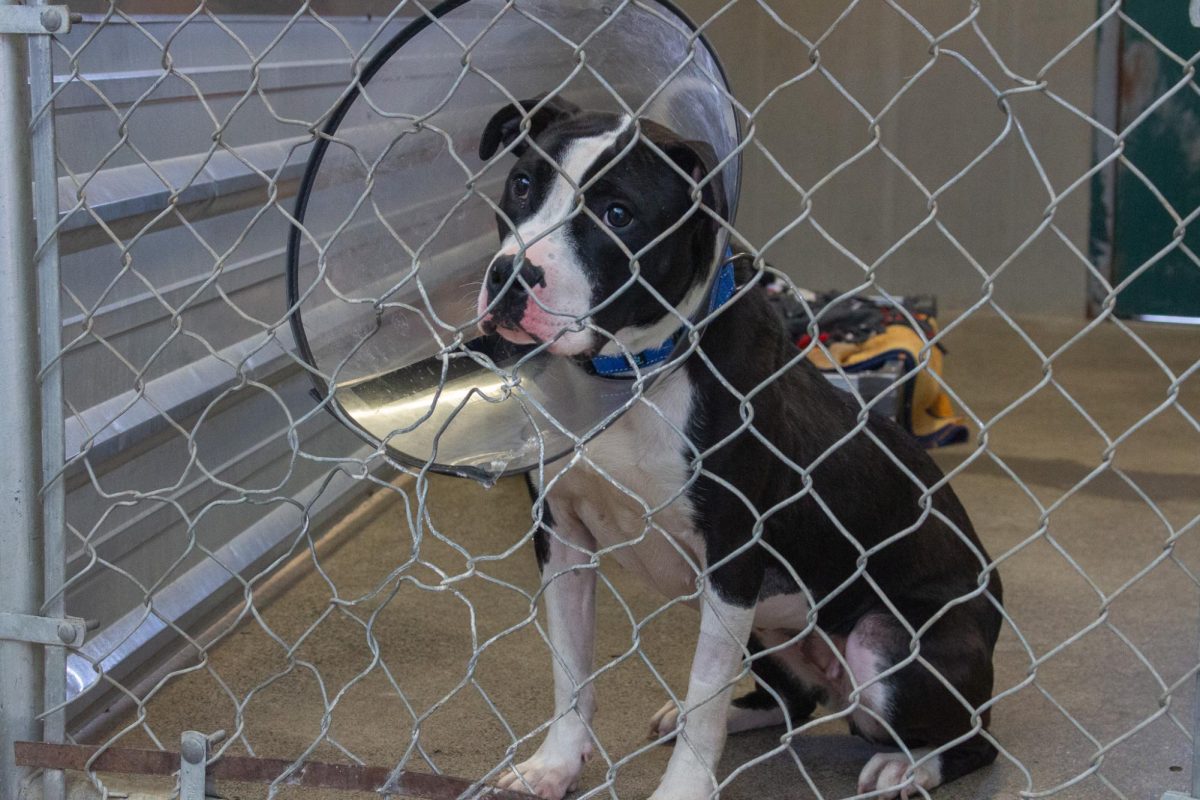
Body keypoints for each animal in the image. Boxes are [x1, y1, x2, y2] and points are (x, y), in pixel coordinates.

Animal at [472, 95, 998, 800]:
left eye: (618, 214)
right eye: (524, 184)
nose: (511, 275)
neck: (629, 375)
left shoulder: (732, 562)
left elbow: (705, 696)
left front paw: (680, 791)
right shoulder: (562, 538)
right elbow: (571, 671)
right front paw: (552, 767)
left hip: (885, 645)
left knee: (975, 738)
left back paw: (908, 766)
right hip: (772, 631)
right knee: (791, 702)